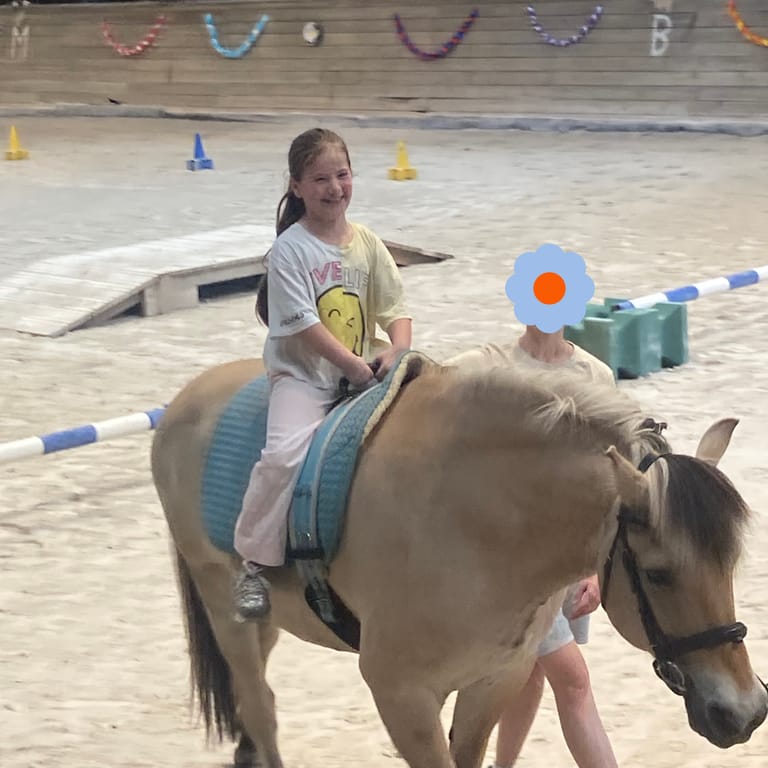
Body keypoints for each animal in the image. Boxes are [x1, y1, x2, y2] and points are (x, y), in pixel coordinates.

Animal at [151, 356, 767, 768]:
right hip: (223, 605)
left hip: (269, 618)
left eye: (730, 563)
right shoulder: (401, 697)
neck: (475, 524)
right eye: (660, 574)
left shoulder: (494, 681)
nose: (745, 712)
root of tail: (185, 399)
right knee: (259, 705)